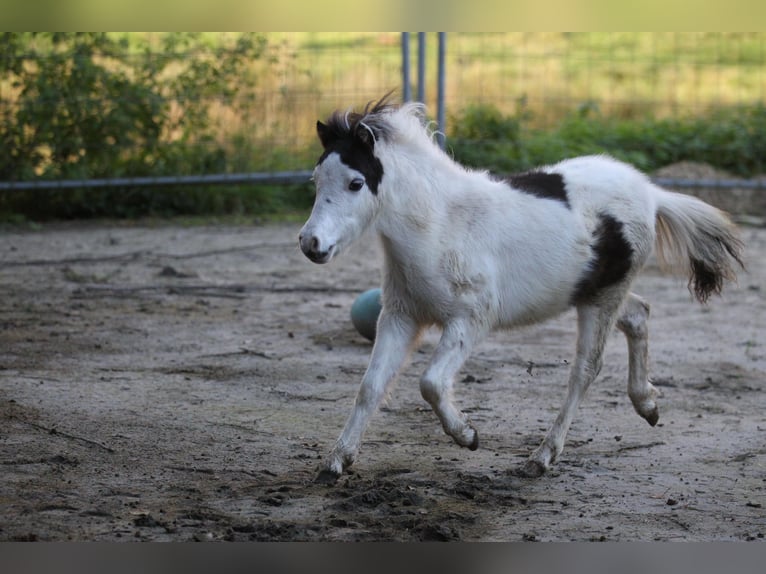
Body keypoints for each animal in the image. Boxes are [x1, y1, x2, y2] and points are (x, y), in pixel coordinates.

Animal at [298, 97, 744, 484]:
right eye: (316, 179)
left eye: (356, 182)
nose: (310, 244)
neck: (440, 226)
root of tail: (651, 194)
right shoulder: (401, 317)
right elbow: (370, 387)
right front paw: (336, 462)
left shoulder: (470, 320)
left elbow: (431, 383)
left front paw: (468, 435)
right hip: (596, 293)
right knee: (639, 314)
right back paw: (647, 404)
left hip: (602, 300)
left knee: (585, 369)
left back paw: (543, 456)